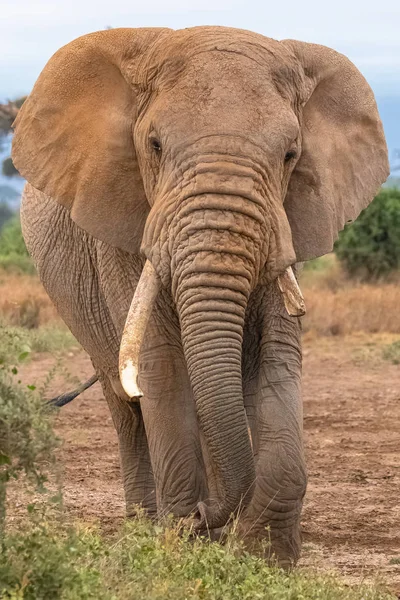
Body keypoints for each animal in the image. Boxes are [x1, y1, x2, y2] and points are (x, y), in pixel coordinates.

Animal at [11, 24, 388, 568]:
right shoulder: (126, 225)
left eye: (291, 155)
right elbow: (162, 365)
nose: (201, 516)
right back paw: (147, 527)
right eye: (154, 145)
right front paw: (182, 545)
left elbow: (275, 358)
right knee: (126, 404)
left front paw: (263, 558)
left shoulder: (286, 223)